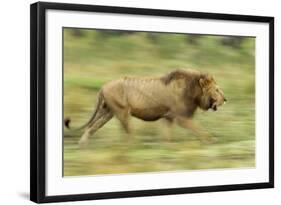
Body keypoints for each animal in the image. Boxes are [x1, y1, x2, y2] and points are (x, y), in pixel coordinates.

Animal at [64, 69, 226, 147]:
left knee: (91, 127)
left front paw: (168, 147)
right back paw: (132, 148)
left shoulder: (169, 117)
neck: (194, 90)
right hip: (122, 112)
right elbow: (200, 129)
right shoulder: (182, 117)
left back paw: (82, 145)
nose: (225, 99)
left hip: (107, 112)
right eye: (217, 90)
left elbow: (167, 136)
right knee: (129, 133)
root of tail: (102, 87)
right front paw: (211, 141)